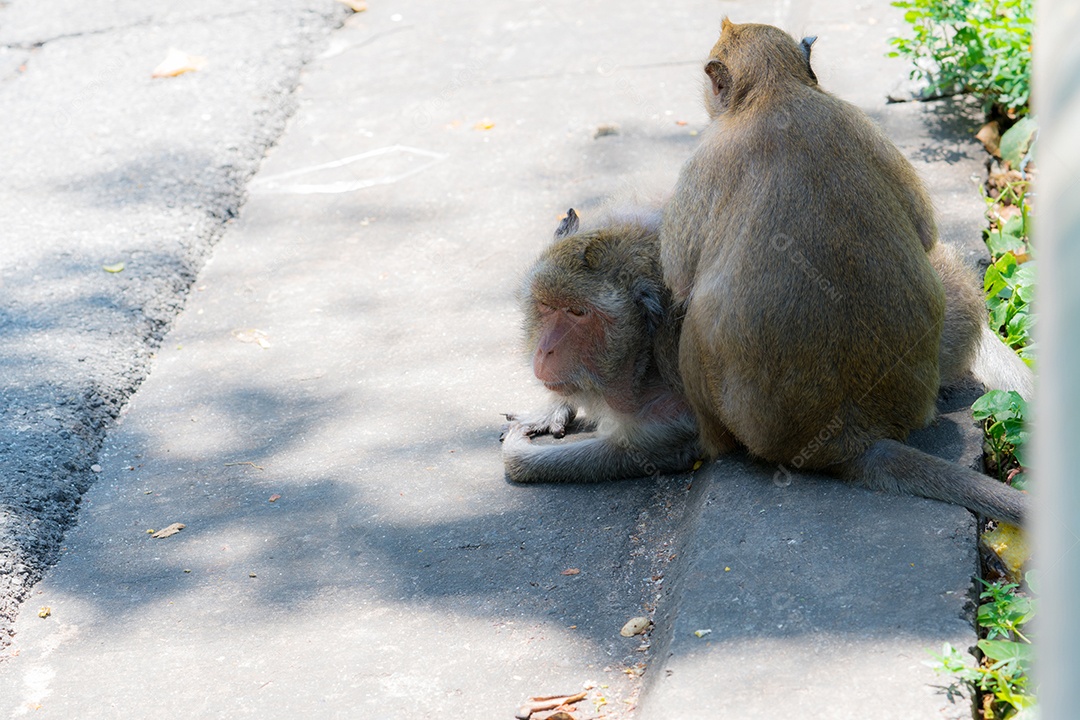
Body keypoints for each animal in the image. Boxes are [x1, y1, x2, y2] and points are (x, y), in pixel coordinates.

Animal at [503, 207, 1032, 521]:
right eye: (546, 307)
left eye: (578, 315)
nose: (544, 350)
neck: (644, 356)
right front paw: (549, 411)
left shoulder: (680, 413)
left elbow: (646, 454)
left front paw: (522, 457)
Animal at [657, 20, 1028, 523]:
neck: (775, 92)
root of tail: (849, 437)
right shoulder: (862, 123)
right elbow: (923, 231)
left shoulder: (706, 156)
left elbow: (679, 278)